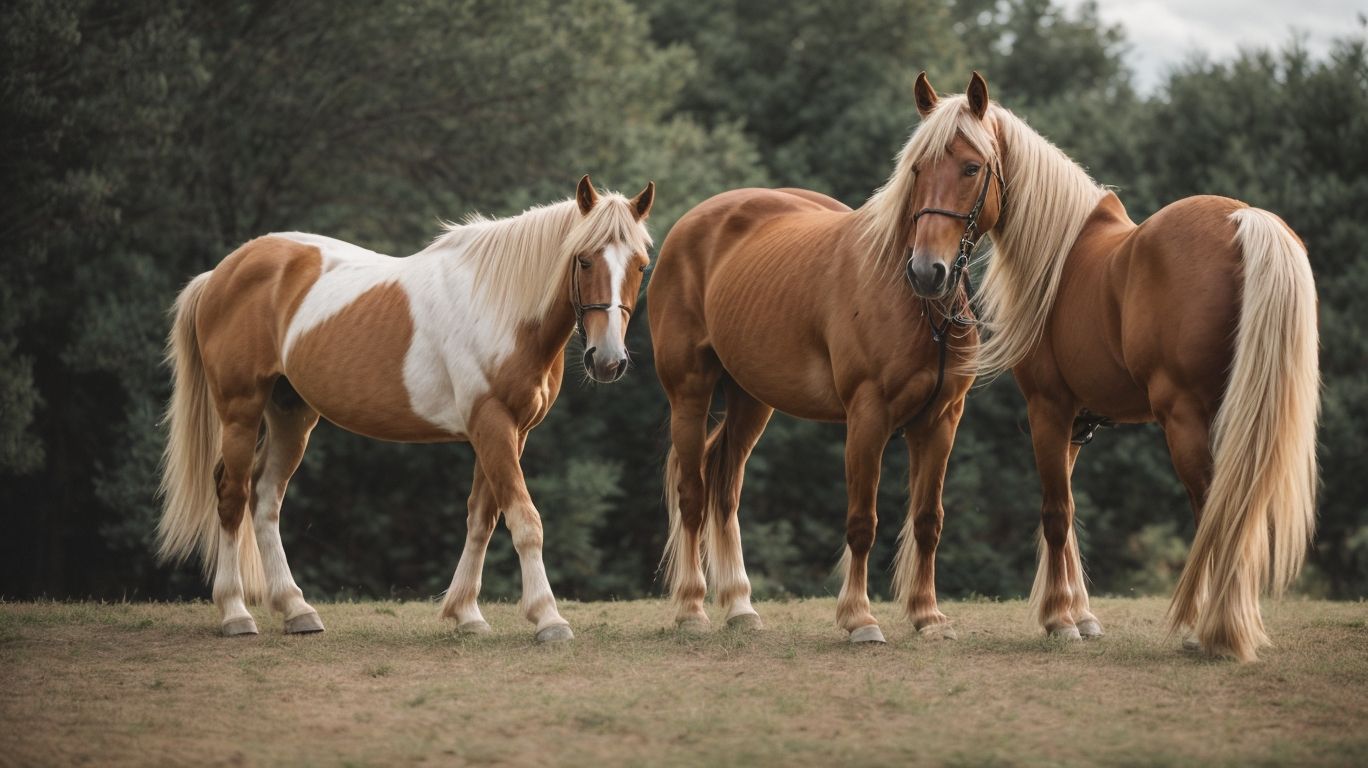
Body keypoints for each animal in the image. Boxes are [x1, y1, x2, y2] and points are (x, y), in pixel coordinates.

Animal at [156, 176, 654, 642]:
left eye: (641, 264)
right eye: (584, 259)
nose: (608, 360)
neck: (500, 307)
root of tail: (223, 272)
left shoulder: (511, 431)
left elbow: (482, 517)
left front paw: (467, 614)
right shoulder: (492, 424)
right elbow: (524, 520)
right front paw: (548, 618)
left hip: (291, 414)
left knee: (265, 497)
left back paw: (297, 610)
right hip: (240, 411)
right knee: (232, 495)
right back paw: (235, 613)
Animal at [650, 99, 1001, 644]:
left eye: (971, 167)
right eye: (917, 168)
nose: (928, 271)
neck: (917, 306)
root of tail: (690, 225)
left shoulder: (942, 420)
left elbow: (928, 520)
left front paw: (927, 616)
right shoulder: (867, 418)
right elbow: (862, 522)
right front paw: (860, 618)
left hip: (752, 402)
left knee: (724, 491)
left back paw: (741, 608)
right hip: (689, 394)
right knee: (693, 494)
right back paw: (692, 609)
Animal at [907, 72, 1318, 661]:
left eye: (970, 167)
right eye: (917, 168)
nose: (927, 271)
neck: (1060, 255)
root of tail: (1243, 219)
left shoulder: (1049, 410)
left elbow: (1056, 513)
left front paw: (1060, 619)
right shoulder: (1079, 422)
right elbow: (1070, 510)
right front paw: (1080, 613)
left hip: (1185, 418)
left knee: (1214, 508)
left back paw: (1215, 630)